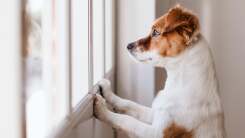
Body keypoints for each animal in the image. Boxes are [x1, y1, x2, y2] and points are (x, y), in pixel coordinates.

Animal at [93, 4, 226, 138]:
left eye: (155, 32)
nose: (128, 46)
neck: (179, 85)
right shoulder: (156, 114)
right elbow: (129, 103)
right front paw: (107, 90)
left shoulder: (157, 133)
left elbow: (127, 120)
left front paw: (102, 110)